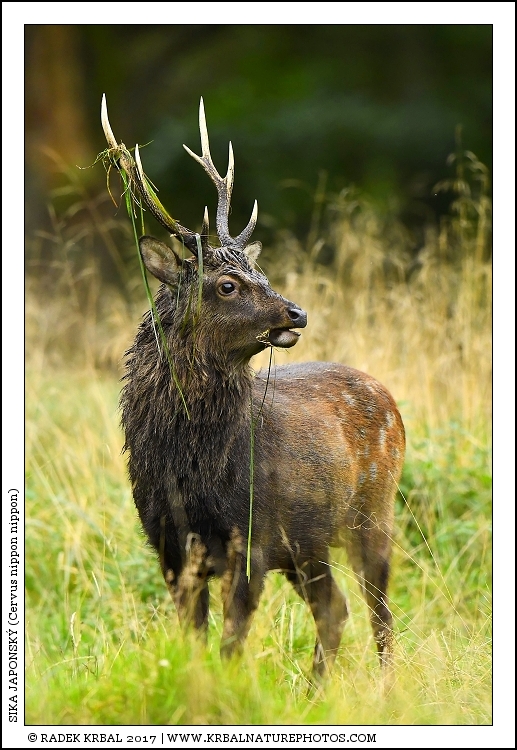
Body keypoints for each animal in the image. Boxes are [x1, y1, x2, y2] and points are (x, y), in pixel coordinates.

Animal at [101, 95, 405, 679]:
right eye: (227, 284)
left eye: (261, 273)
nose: (297, 312)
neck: (194, 473)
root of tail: (388, 397)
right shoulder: (170, 547)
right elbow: (196, 643)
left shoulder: (253, 538)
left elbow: (231, 644)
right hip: (309, 543)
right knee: (335, 609)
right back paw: (315, 690)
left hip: (373, 510)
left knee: (378, 613)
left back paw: (383, 688)